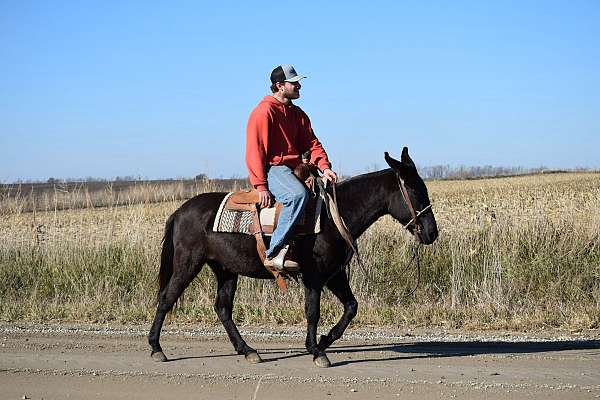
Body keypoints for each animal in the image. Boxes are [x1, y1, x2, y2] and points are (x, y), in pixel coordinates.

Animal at [148, 148, 438, 368]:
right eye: (415, 191)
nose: (432, 233)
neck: (333, 217)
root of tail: (180, 211)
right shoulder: (314, 276)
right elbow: (313, 311)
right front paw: (316, 351)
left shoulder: (334, 274)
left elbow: (351, 307)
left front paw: (323, 341)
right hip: (188, 264)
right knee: (166, 299)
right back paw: (156, 348)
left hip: (225, 269)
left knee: (222, 308)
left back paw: (248, 350)